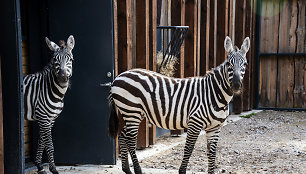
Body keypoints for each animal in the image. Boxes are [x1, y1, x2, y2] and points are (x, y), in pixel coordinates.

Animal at [23, 35, 74, 174]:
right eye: (55, 60)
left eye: (70, 59)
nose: (62, 78)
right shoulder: (43, 116)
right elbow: (49, 145)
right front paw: (54, 169)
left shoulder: (51, 118)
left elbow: (42, 141)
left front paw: (39, 166)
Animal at [109, 36, 250, 173]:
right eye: (229, 64)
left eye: (245, 64)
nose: (236, 85)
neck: (213, 94)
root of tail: (119, 76)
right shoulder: (195, 123)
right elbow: (189, 149)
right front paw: (182, 171)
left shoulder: (215, 127)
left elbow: (212, 152)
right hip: (132, 111)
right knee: (130, 140)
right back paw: (137, 170)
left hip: (134, 113)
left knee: (123, 136)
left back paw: (126, 169)